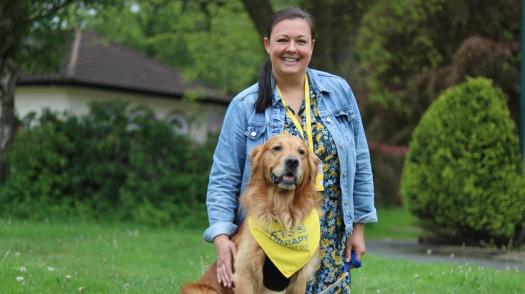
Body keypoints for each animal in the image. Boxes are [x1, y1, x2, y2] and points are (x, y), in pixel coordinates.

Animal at [182, 134, 322, 294]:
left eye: (301, 152)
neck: (281, 209)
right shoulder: (244, 271)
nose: (292, 161)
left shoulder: (299, 280)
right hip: (202, 289)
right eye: (277, 148)